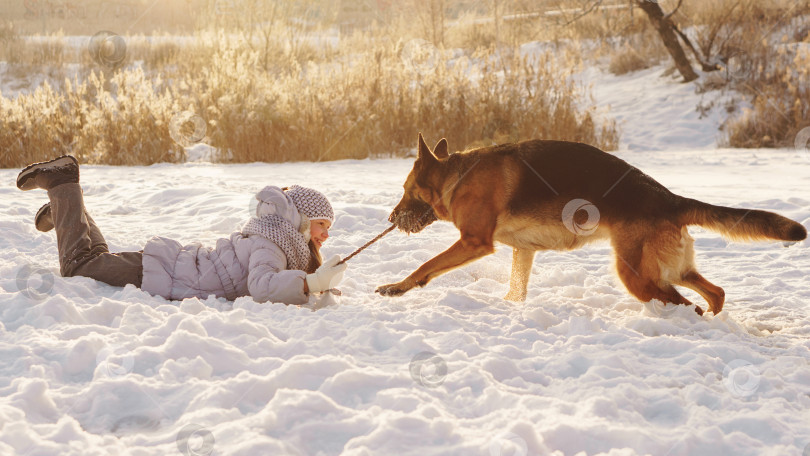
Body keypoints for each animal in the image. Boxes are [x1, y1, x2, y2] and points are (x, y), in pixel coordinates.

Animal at [376, 134, 804, 316]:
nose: (390, 219)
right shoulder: (522, 252)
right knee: (715, 294)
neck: (457, 175)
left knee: (691, 305)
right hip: (673, 270)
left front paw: (398, 287)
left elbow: (426, 265)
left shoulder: (474, 242)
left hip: (637, 275)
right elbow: (516, 289)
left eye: (406, 191)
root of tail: (670, 199)